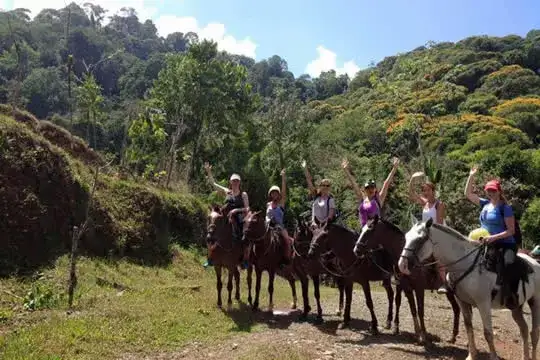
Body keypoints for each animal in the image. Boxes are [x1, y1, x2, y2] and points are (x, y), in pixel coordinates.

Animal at [352, 215, 462, 344]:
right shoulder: (406, 287)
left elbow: (420, 310)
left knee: (457, 309)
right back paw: (452, 337)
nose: (356, 250)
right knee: (456, 309)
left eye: (370, 230)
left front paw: (423, 335)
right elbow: (413, 309)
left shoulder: (419, 288)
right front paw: (417, 333)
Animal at [396, 217, 540, 360]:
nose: (402, 265)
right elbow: (468, 327)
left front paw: (493, 357)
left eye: (420, 239)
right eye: (406, 237)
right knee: (524, 329)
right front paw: (471, 355)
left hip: (535, 302)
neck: (465, 265)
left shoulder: (483, 304)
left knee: (534, 333)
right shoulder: (462, 302)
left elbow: (488, 333)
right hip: (516, 306)